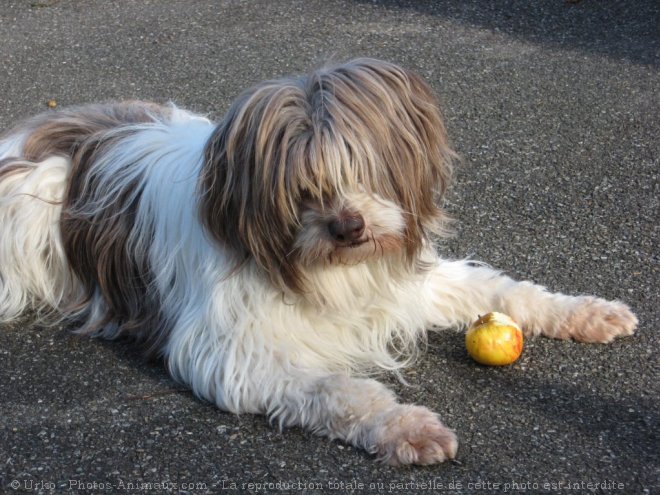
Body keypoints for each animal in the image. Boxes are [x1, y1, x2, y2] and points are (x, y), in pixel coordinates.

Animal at [1, 58, 640, 464]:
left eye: (363, 167)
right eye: (302, 187)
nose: (349, 225)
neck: (330, 268)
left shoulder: (406, 282)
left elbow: (500, 290)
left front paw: (587, 313)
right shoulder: (235, 349)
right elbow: (340, 389)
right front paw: (407, 426)